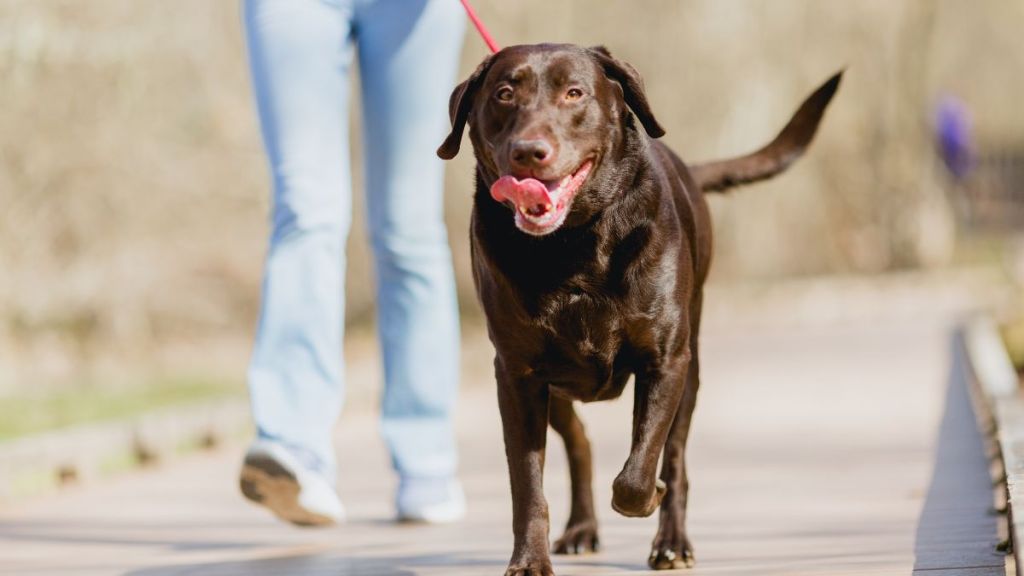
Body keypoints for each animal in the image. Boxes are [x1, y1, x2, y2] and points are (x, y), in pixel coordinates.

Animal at [438, 42, 839, 569]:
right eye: (504, 93)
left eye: (574, 93)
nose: (528, 151)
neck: (572, 245)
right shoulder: (518, 376)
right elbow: (527, 485)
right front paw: (529, 562)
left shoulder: (665, 362)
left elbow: (638, 473)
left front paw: (650, 498)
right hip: (556, 388)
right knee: (580, 443)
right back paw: (582, 528)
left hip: (690, 374)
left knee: (675, 457)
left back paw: (671, 541)